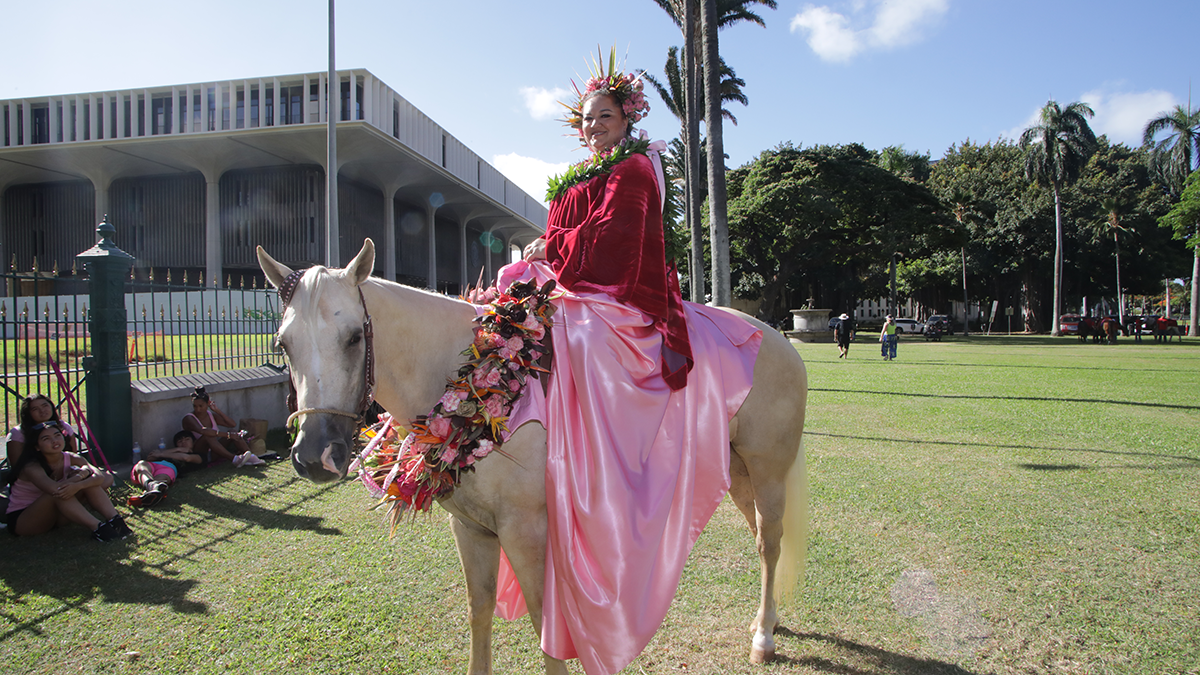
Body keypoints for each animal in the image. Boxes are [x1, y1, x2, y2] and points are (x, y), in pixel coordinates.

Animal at [258, 239, 811, 667]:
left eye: (354, 337)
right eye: (282, 344)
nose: (314, 455)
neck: (465, 370)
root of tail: (777, 337)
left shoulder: (525, 533)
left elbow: (546, 631)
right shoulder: (471, 528)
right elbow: (480, 613)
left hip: (768, 470)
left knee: (769, 541)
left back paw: (764, 638)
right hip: (738, 470)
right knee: (761, 534)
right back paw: (769, 620)